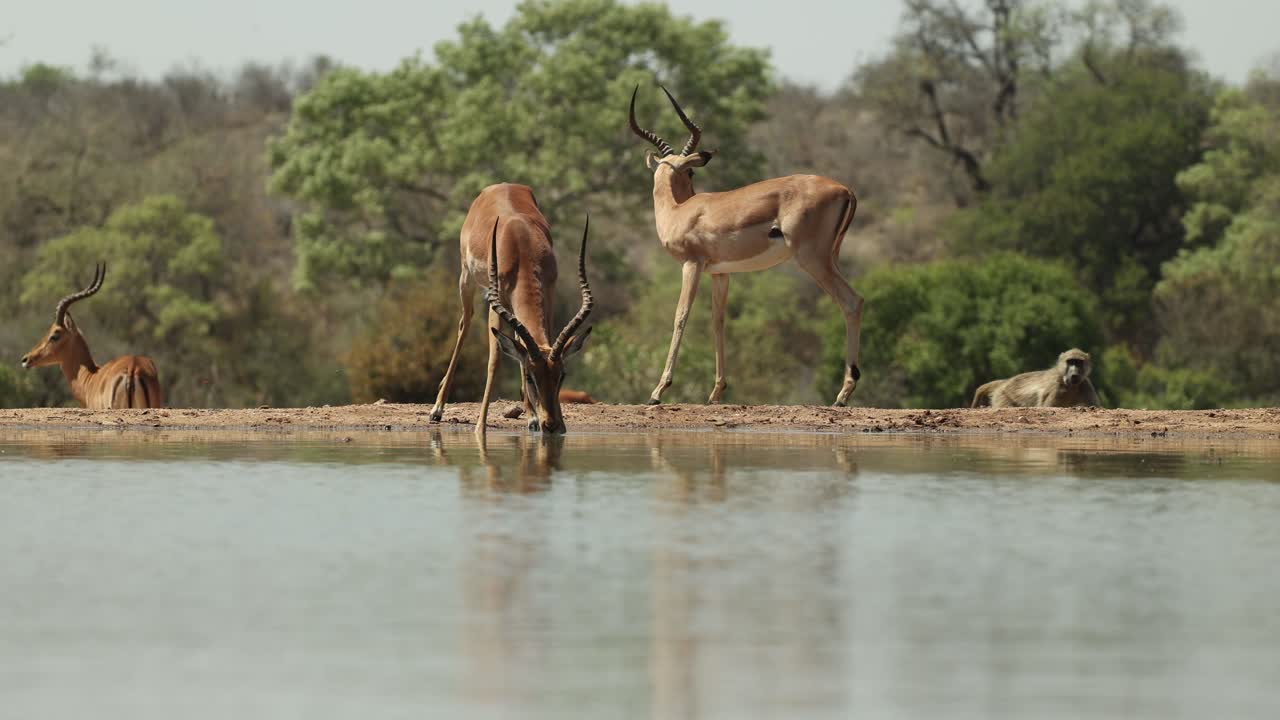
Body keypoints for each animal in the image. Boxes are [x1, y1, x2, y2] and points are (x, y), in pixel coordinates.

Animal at [429, 184, 593, 434]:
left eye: (561, 375)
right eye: (530, 376)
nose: (551, 424)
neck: (521, 245)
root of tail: (500, 185)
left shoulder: (549, 294)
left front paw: (535, 418)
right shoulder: (496, 302)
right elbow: (495, 359)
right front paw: (480, 426)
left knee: (517, 340)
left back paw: (530, 415)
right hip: (466, 279)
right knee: (464, 326)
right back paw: (437, 409)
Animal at [629, 86, 864, 406]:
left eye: (691, 172)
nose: (691, 192)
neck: (678, 212)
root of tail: (845, 190)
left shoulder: (692, 265)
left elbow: (681, 316)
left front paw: (657, 391)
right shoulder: (720, 273)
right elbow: (718, 320)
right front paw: (716, 392)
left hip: (811, 259)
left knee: (851, 301)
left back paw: (842, 395)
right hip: (831, 257)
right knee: (853, 301)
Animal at [970, 348, 1101, 409]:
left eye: (1078, 363)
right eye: (1070, 362)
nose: (1074, 375)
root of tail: (1005, 382)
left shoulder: (1085, 384)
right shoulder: (1056, 386)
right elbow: (1046, 406)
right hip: (1003, 395)